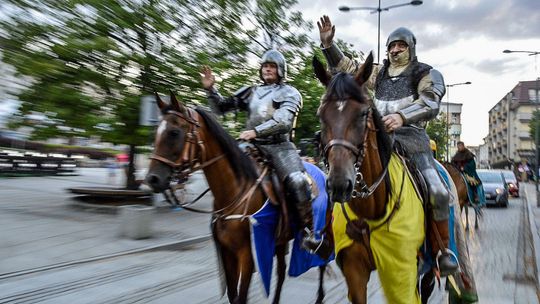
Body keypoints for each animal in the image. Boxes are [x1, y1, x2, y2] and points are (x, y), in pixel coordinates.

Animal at [144, 92, 330, 304]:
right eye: (157, 131)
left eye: (174, 132)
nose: (152, 179)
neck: (234, 190)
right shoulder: (227, 252)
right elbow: (233, 295)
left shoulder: (247, 255)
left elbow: (241, 296)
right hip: (281, 240)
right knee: (282, 273)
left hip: (323, 229)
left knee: (323, 260)